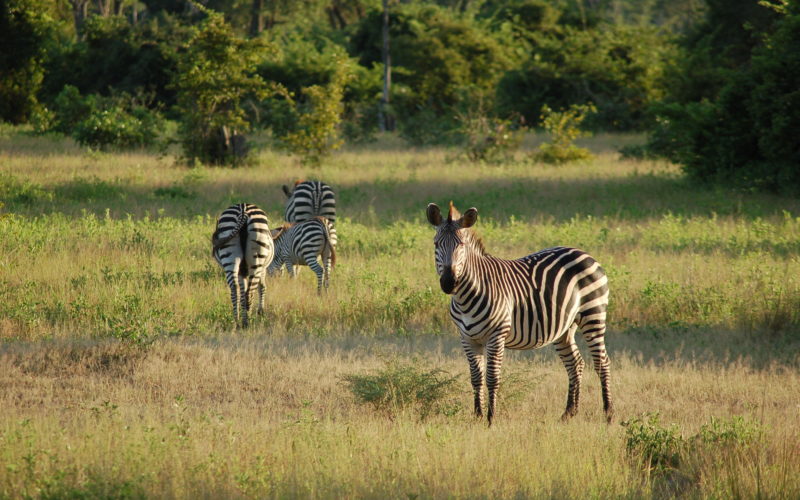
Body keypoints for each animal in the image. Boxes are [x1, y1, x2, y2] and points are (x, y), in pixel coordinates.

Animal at [426, 201, 613, 426]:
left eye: (461, 244)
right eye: (436, 244)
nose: (448, 282)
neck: (466, 296)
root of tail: (583, 252)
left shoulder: (496, 335)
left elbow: (492, 377)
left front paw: (490, 419)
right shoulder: (467, 338)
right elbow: (476, 377)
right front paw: (477, 416)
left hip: (593, 314)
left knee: (602, 362)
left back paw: (608, 414)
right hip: (565, 327)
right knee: (575, 363)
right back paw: (569, 413)